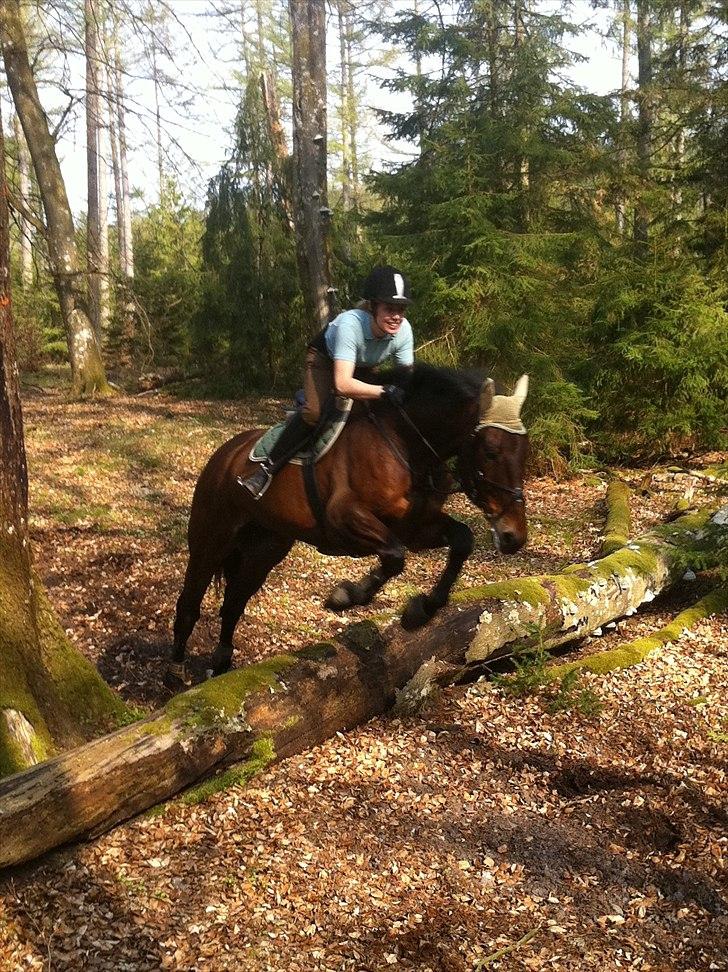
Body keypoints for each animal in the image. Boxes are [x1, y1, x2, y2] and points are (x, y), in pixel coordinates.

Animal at [166, 360, 528, 688]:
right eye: (491, 451)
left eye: (525, 451)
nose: (514, 537)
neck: (407, 446)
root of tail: (225, 454)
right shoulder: (345, 518)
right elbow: (394, 557)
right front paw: (346, 596)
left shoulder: (414, 527)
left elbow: (461, 540)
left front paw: (421, 611)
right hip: (211, 540)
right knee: (189, 602)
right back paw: (175, 672)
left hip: (263, 551)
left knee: (233, 603)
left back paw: (220, 663)